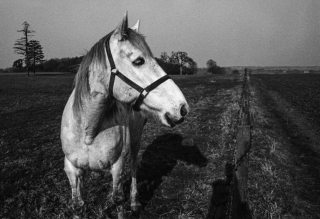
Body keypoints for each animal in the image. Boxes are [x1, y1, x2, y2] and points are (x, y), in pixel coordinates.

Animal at [61, 12, 189, 218]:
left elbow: (118, 200)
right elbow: (78, 205)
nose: (182, 108)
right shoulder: (71, 169)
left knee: (135, 165)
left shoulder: (117, 166)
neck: (89, 130)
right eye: (138, 61)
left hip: (135, 139)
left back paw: (135, 202)